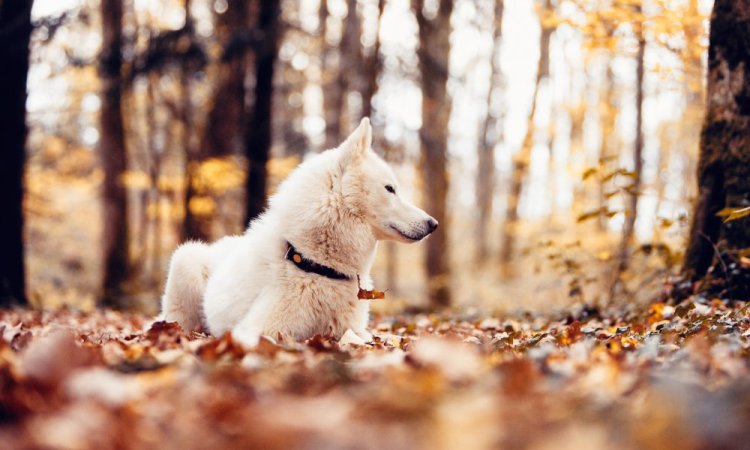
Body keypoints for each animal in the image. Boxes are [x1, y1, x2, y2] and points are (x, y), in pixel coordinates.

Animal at [162, 118, 438, 346]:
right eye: (390, 189)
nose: (433, 223)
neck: (317, 264)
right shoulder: (257, 330)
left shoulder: (352, 329)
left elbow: (369, 340)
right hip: (186, 259)